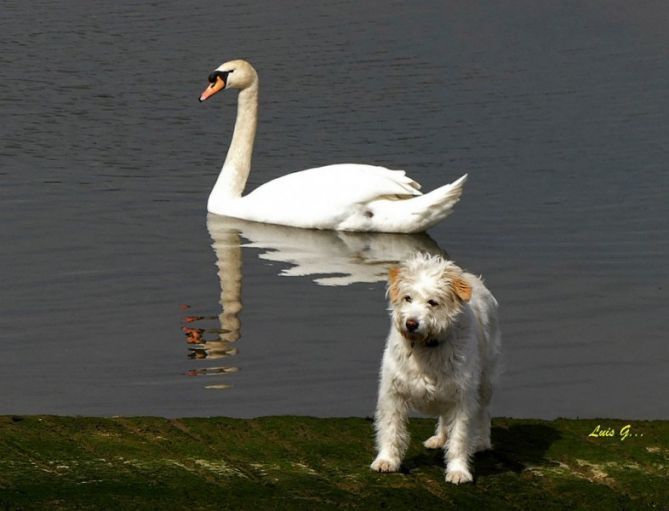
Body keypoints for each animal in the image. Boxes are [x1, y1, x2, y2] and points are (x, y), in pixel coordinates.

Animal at [370, 254, 500, 486]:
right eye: (408, 298)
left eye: (433, 302)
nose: (411, 323)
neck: (425, 347)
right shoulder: (392, 393)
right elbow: (391, 429)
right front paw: (386, 460)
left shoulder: (463, 398)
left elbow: (459, 438)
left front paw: (458, 471)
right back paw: (439, 438)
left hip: (485, 382)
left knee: (484, 412)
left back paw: (481, 442)